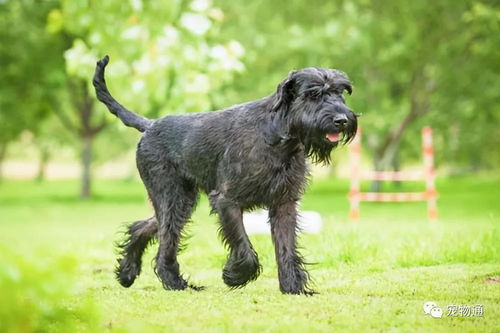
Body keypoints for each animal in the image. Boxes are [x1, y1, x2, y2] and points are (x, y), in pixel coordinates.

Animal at [94, 55, 358, 294]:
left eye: (340, 92)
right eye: (313, 94)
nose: (342, 120)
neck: (278, 138)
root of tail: (150, 125)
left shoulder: (284, 204)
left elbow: (286, 247)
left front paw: (293, 287)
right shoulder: (227, 200)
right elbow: (243, 245)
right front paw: (235, 276)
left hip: (182, 200)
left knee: (144, 227)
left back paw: (127, 273)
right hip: (172, 197)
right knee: (166, 241)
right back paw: (175, 283)